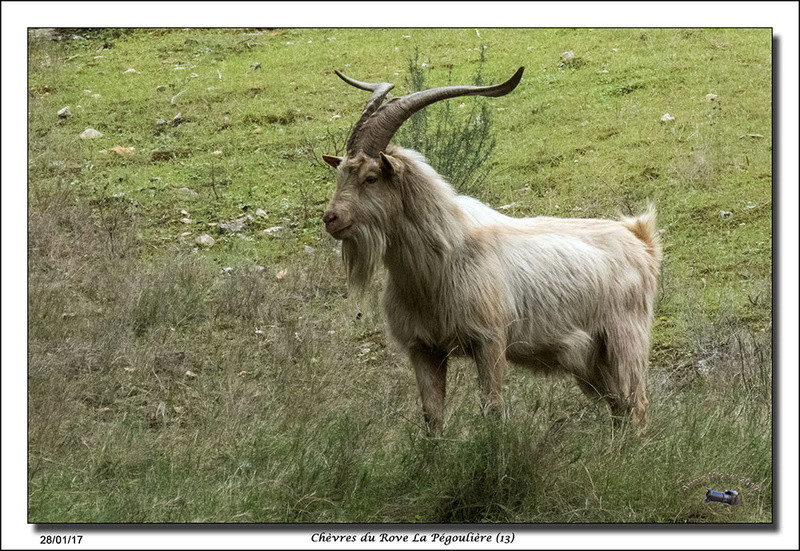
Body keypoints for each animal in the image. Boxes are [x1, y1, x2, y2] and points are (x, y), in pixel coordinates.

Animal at [318, 67, 664, 434]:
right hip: (594, 360)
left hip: (624, 341)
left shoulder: (490, 342)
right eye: (341, 175)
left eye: (371, 178)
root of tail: (640, 238)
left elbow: (492, 410)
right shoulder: (424, 349)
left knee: (636, 404)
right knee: (620, 408)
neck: (440, 260)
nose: (331, 219)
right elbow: (433, 418)